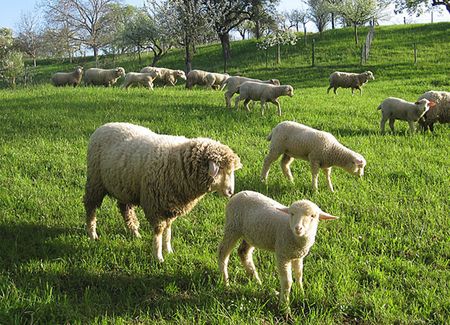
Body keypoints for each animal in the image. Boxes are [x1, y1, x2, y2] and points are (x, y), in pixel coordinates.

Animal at [82, 121, 241, 260]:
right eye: (221, 169)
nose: (231, 192)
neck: (177, 163)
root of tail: (103, 126)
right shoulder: (155, 205)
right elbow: (159, 231)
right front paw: (158, 256)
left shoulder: (170, 205)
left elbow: (168, 230)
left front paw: (168, 250)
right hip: (95, 181)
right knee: (91, 207)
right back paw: (92, 234)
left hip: (124, 186)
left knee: (125, 209)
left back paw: (135, 233)